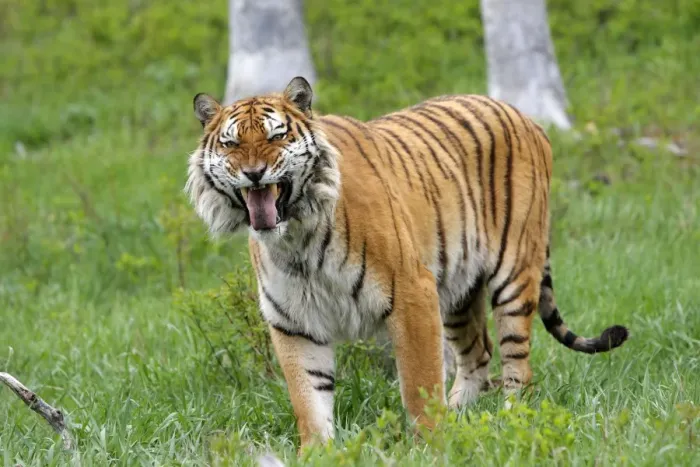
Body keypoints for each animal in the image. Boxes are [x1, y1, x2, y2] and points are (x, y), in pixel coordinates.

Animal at [184, 76, 629, 449]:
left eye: (276, 136)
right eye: (231, 145)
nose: (254, 173)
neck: (296, 236)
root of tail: (528, 118)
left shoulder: (411, 293)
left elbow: (419, 381)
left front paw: (431, 445)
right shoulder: (293, 321)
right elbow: (308, 398)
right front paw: (316, 453)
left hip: (514, 274)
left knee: (517, 364)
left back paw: (511, 419)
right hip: (457, 290)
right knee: (478, 355)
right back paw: (460, 413)